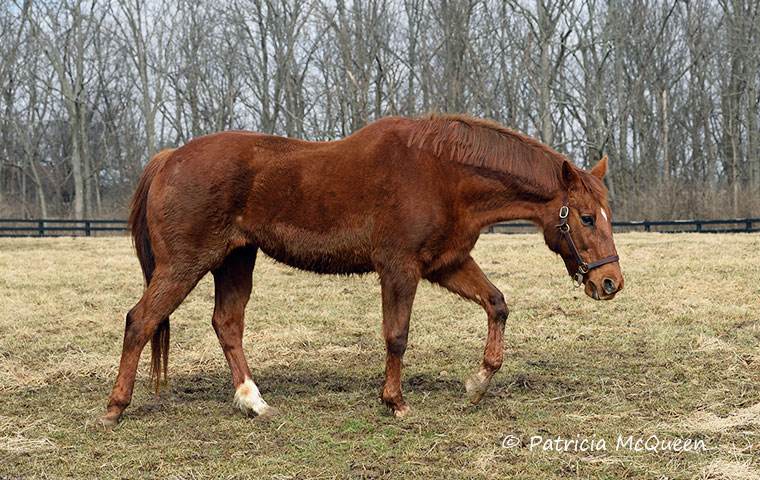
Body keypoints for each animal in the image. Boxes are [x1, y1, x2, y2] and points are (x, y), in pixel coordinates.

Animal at [98, 113, 624, 428]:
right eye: (585, 217)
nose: (610, 282)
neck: (442, 172)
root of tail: (170, 158)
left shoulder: (446, 263)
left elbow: (497, 303)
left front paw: (478, 383)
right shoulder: (400, 268)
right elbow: (398, 335)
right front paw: (396, 402)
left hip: (234, 261)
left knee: (226, 324)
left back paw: (253, 401)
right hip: (184, 265)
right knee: (140, 321)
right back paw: (115, 408)